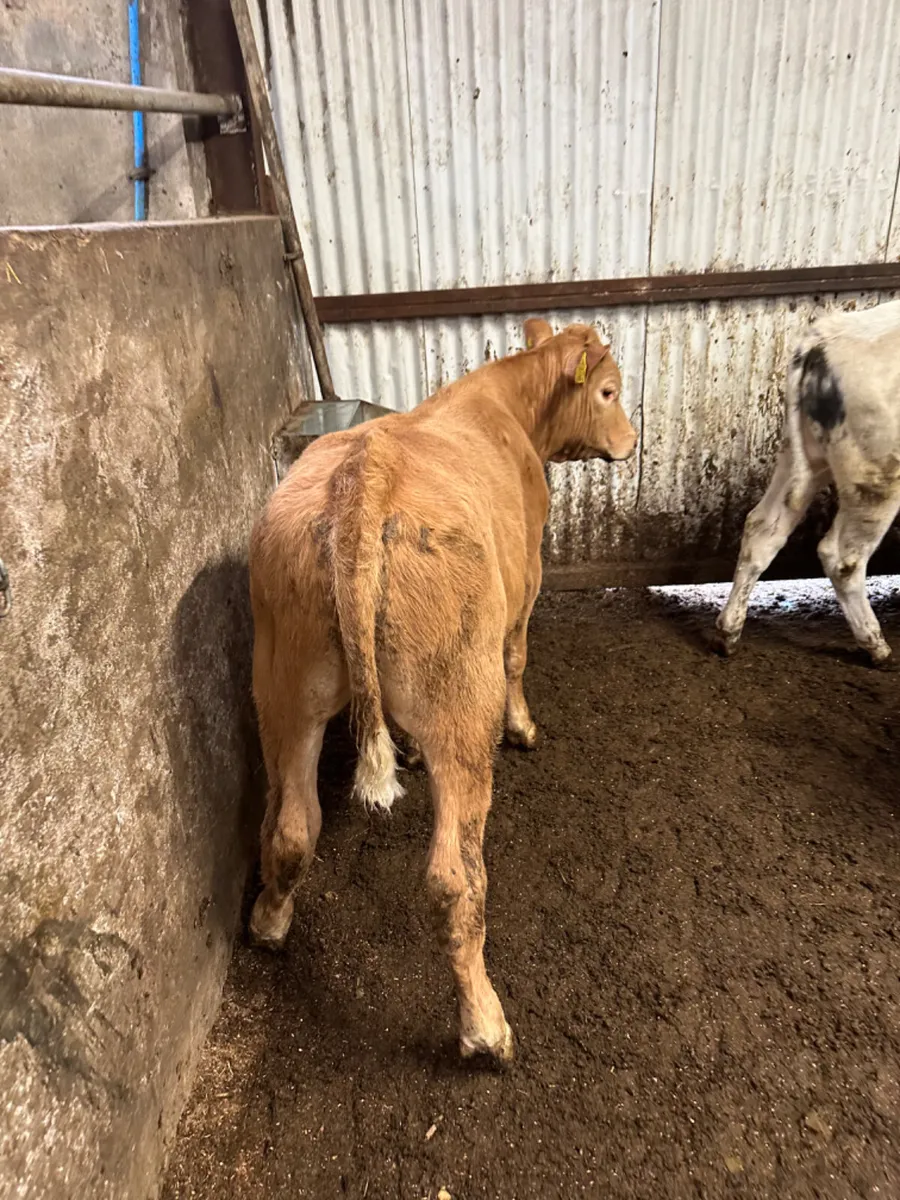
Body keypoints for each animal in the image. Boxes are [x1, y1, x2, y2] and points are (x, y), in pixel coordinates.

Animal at [247, 319, 637, 1063]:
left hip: (281, 688)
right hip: (460, 700)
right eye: (608, 390)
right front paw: (525, 729)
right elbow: (518, 657)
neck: (508, 408)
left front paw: (406, 749)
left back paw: (268, 924)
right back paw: (484, 1026)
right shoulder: (527, 581)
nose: (632, 441)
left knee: (289, 827)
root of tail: (364, 470)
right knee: (455, 879)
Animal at [716, 299, 900, 664]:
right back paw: (878, 648)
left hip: (800, 457)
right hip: (876, 476)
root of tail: (821, 338)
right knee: (842, 558)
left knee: (762, 527)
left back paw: (728, 633)